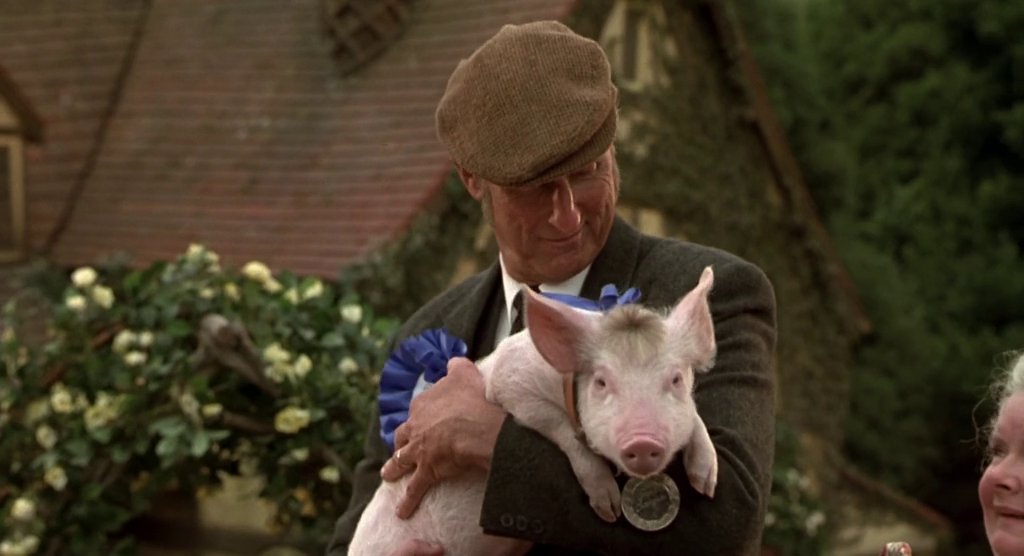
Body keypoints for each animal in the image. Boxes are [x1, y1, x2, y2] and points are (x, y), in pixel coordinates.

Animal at [348, 266, 719, 555]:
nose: (643, 441)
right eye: (601, 382)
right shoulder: (512, 383)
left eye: (675, 379)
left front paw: (707, 483)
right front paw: (609, 510)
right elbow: (561, 429)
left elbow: (695, 419)